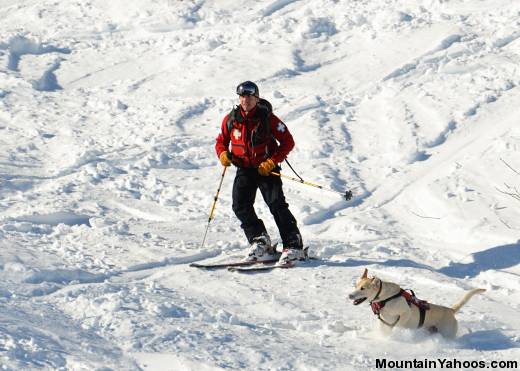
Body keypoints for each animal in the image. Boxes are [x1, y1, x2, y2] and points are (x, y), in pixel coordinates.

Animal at [348, 268, 486, 338]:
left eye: (362, 288)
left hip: (447, 333)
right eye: (356, 285)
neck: (385, 298)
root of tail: (450, 310)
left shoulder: (405, 313)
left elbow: (398, 325)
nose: (350, 295)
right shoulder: (384, 321)